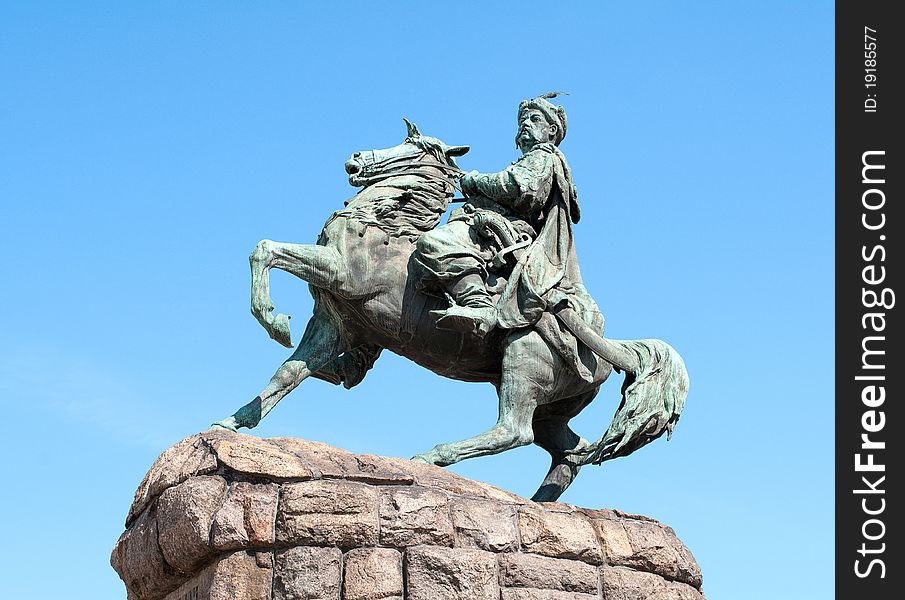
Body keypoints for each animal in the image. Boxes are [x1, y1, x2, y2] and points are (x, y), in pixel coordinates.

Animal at [212, 118, 688, 502]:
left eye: (413, 144)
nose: (355, 158)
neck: (384, 226)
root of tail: (609, 345)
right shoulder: (335, 322)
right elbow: (290, 372)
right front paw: (233, 421)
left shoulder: (339, 273)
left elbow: (265, 250)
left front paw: (272, 319)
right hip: (552, 407)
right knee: (571, 452)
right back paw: (537, 505)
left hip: (523, 363)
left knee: (514, 430)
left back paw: (432, 456)